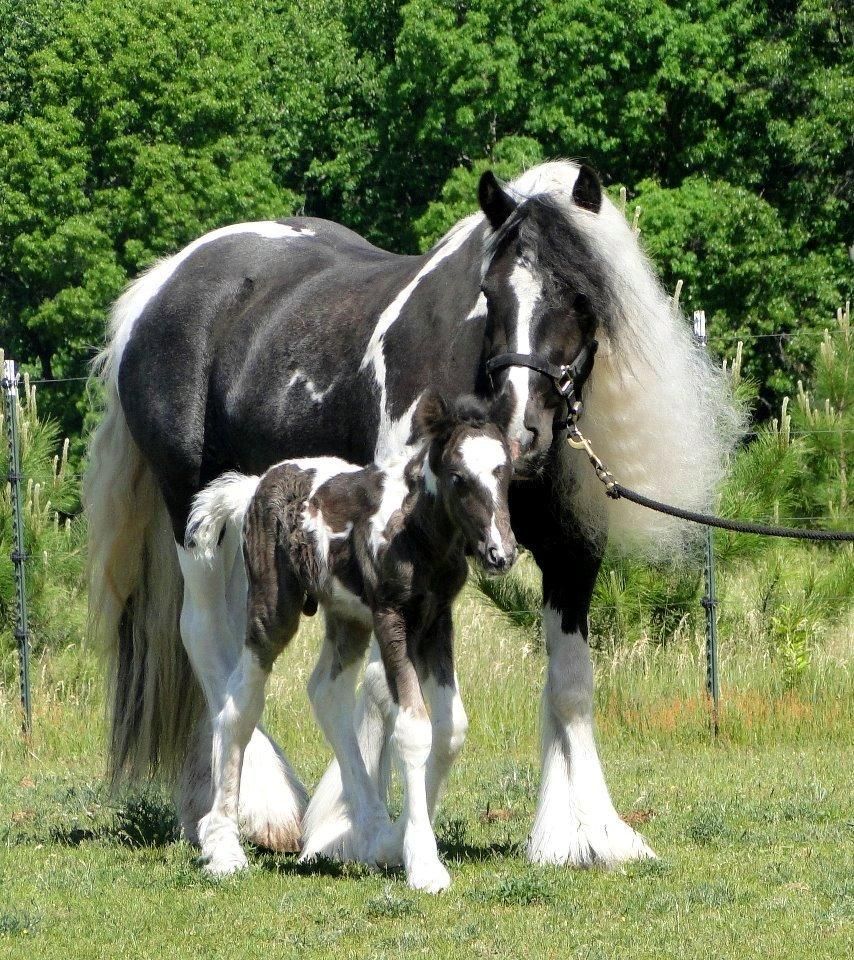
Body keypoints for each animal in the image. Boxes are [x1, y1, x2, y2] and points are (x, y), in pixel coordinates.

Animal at [187, 392, 520, 892]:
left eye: (506, 471)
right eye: (458, 477)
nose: (501, 553)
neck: (417, 532)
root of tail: (254, 487)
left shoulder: (437, 620)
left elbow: (451, 728)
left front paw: (400, 840)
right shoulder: (391, 617)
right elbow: (414, 728)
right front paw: (424, 862)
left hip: (347, 618)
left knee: (326, 693)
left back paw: (374, 831)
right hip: (274, 609)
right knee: (238, 704)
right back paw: (224, 847)